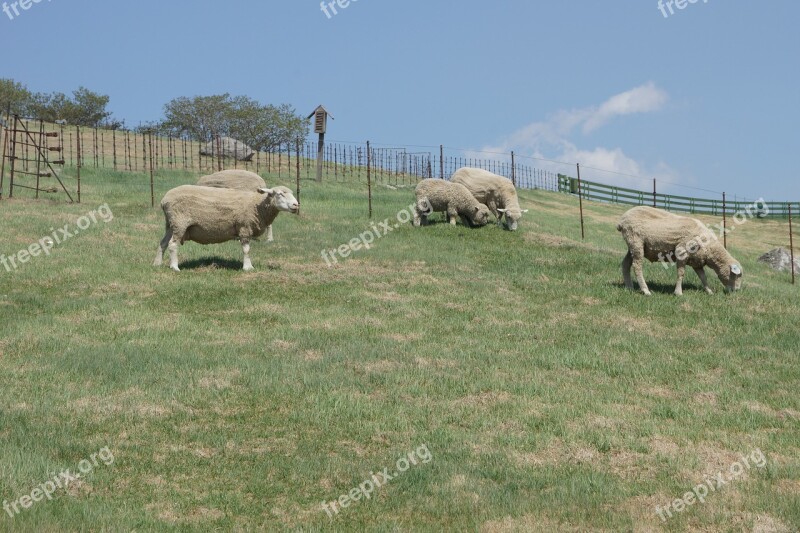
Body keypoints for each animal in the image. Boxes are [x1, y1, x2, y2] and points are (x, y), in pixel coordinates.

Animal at [153, 185, 296, 272]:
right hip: (179, 222)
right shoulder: (244, 227)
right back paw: (174, 267)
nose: (296, 205)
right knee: (172, 244)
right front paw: (248, 267)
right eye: (280, 194)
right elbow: (246, 250)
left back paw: (157, 264)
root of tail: (164, 200)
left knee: (163, 243)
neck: (258, 206)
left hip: (170, 224)